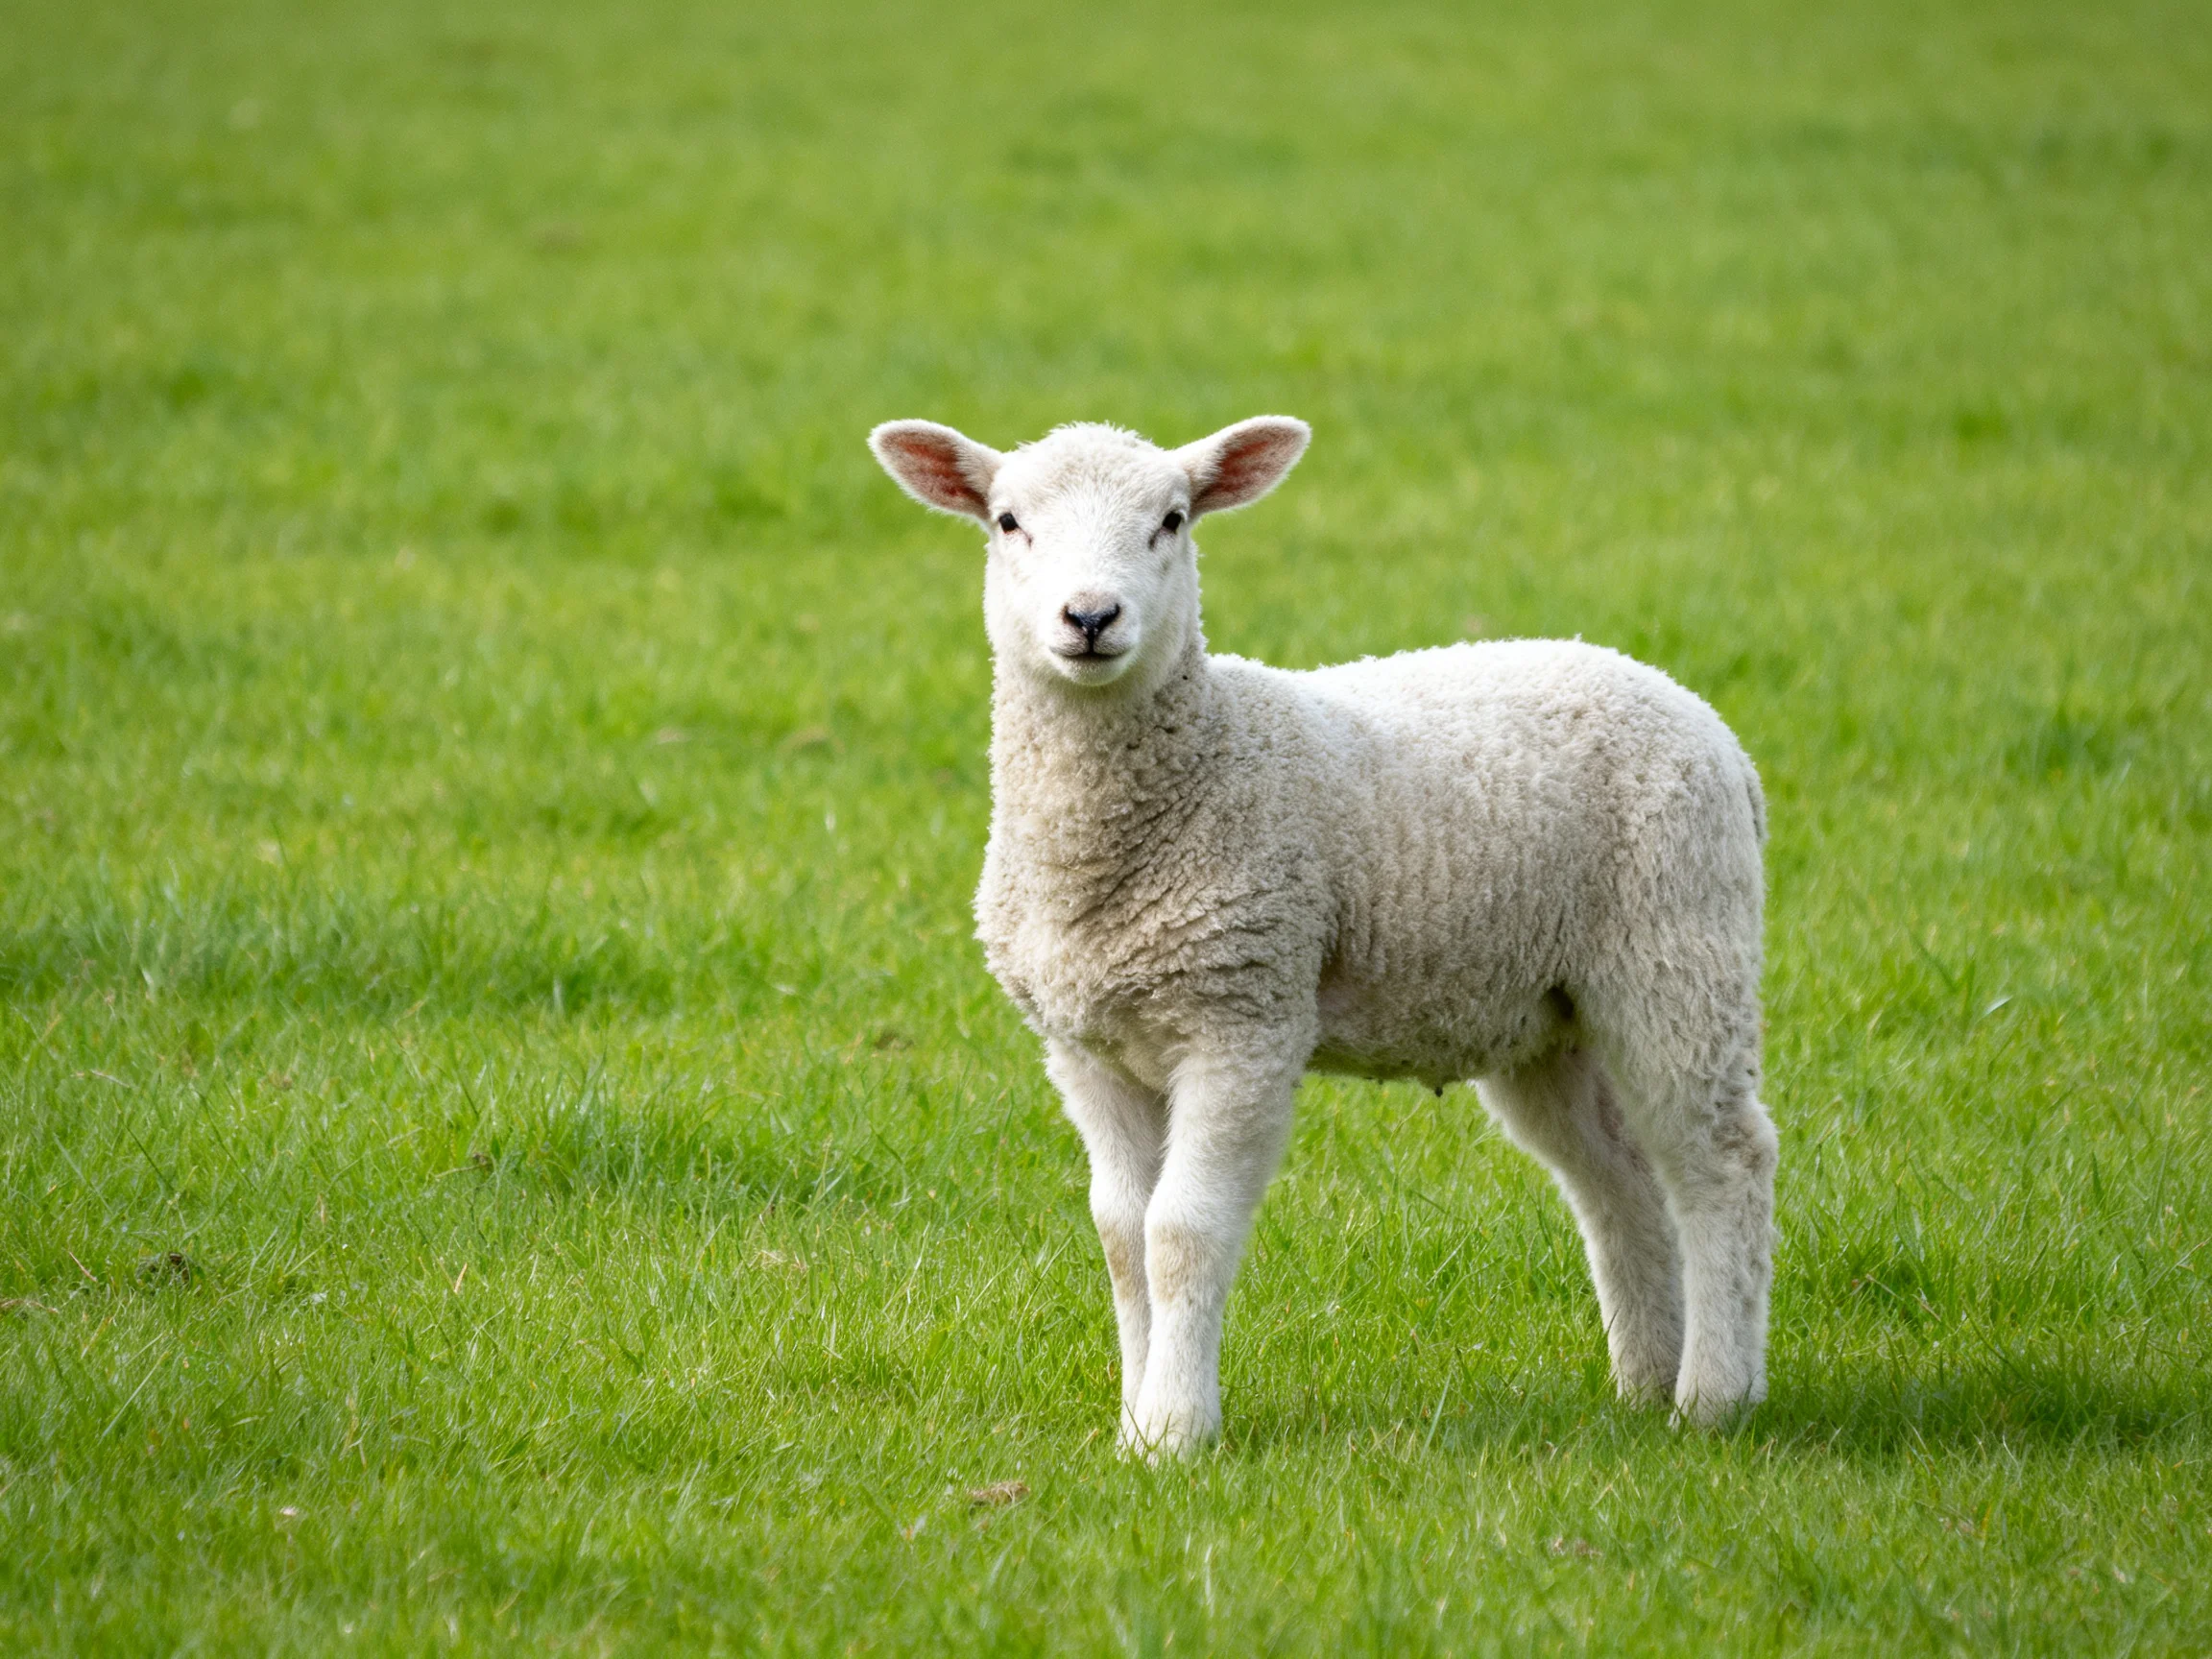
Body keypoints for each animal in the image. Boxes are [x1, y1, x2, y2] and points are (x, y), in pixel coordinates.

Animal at [867, 415, 1777, 1456]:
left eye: (1172, 520)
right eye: (1008, 521)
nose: (1091, 617)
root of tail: (1706, 724)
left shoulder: (1245, 1017)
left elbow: (1182, 1233)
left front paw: (1176, 1432)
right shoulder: (1087, 1048)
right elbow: (1122, 1236)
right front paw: (1134, 1424)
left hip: (1679, 943)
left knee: (1723, 1159)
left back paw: (1714, 1397)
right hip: (1550, 1012)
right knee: (1615, 1181)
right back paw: (1643, 1384)